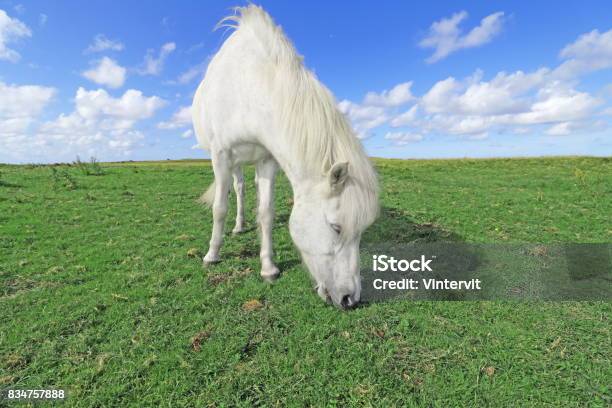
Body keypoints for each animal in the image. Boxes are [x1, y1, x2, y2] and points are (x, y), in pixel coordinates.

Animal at [192, 4, 378, 310]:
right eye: (336, 228)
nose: (350, 299)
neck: (250, 87)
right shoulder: (221, 155)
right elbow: (220, 208)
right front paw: (212, 255)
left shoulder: (268, 159)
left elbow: (266, 213)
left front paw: (268, 268)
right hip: (232, 163)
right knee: (237, 189)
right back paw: (237, 227)